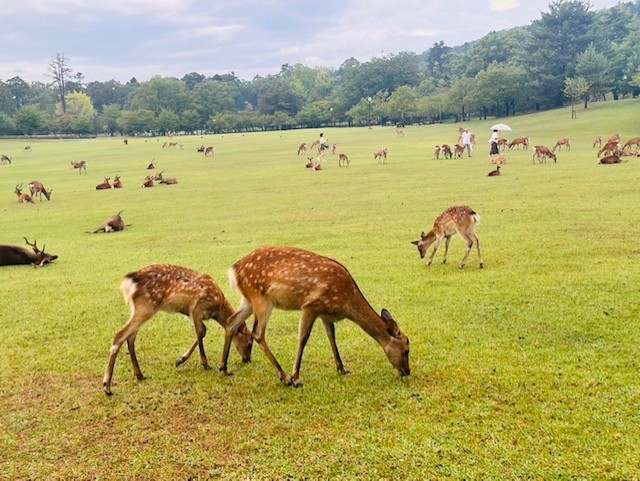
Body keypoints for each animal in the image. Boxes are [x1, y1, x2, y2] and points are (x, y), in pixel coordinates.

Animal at [103, 262, 255, 394]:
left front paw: (180, 360)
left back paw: (139, 374)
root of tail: (129, 282)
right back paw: (107, 386)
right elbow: (201, 332)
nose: (247, 359)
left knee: (130, 337)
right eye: (249, 343)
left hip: (138, 309)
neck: (218, 307)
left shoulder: (190, 313)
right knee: (120, 335)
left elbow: (203, 332)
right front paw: (205, 364)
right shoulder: (197, 309)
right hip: (146, 306)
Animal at [219, 248, 410, 386]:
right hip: (262, 299)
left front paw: (342, 368)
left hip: (248, 300)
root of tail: (233, 271)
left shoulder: (325, 313)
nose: (407, 371)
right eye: (406, 350)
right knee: (258, 333)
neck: (344, 301)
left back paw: (224, 368)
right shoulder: (311, 306)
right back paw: (284, 377)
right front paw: (296, 377)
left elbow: (332, 337)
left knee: (231, 322)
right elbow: (303, 338)